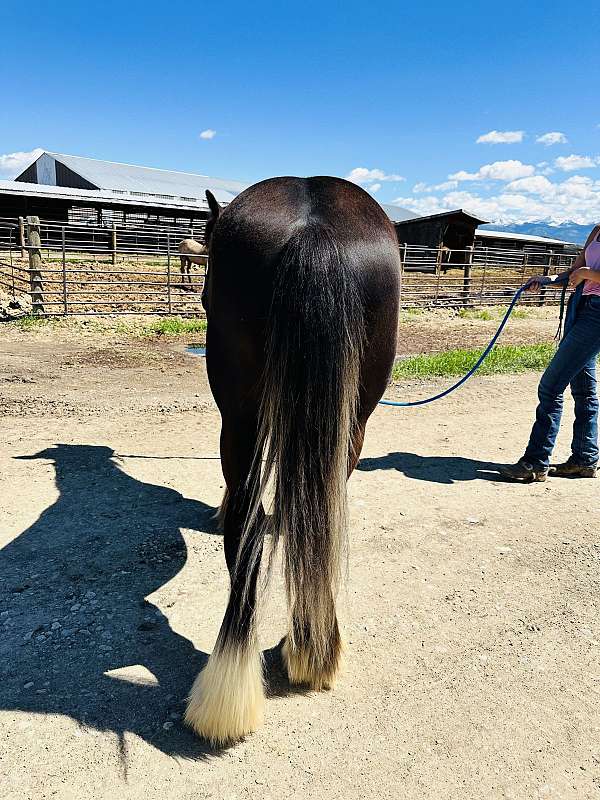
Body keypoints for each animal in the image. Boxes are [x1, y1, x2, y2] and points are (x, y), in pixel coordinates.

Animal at [184, 178, 401, 745]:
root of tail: (313, 229)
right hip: (351, 422)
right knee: (319, 518)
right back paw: (313, 648)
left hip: (239, 421)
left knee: (244, 532)